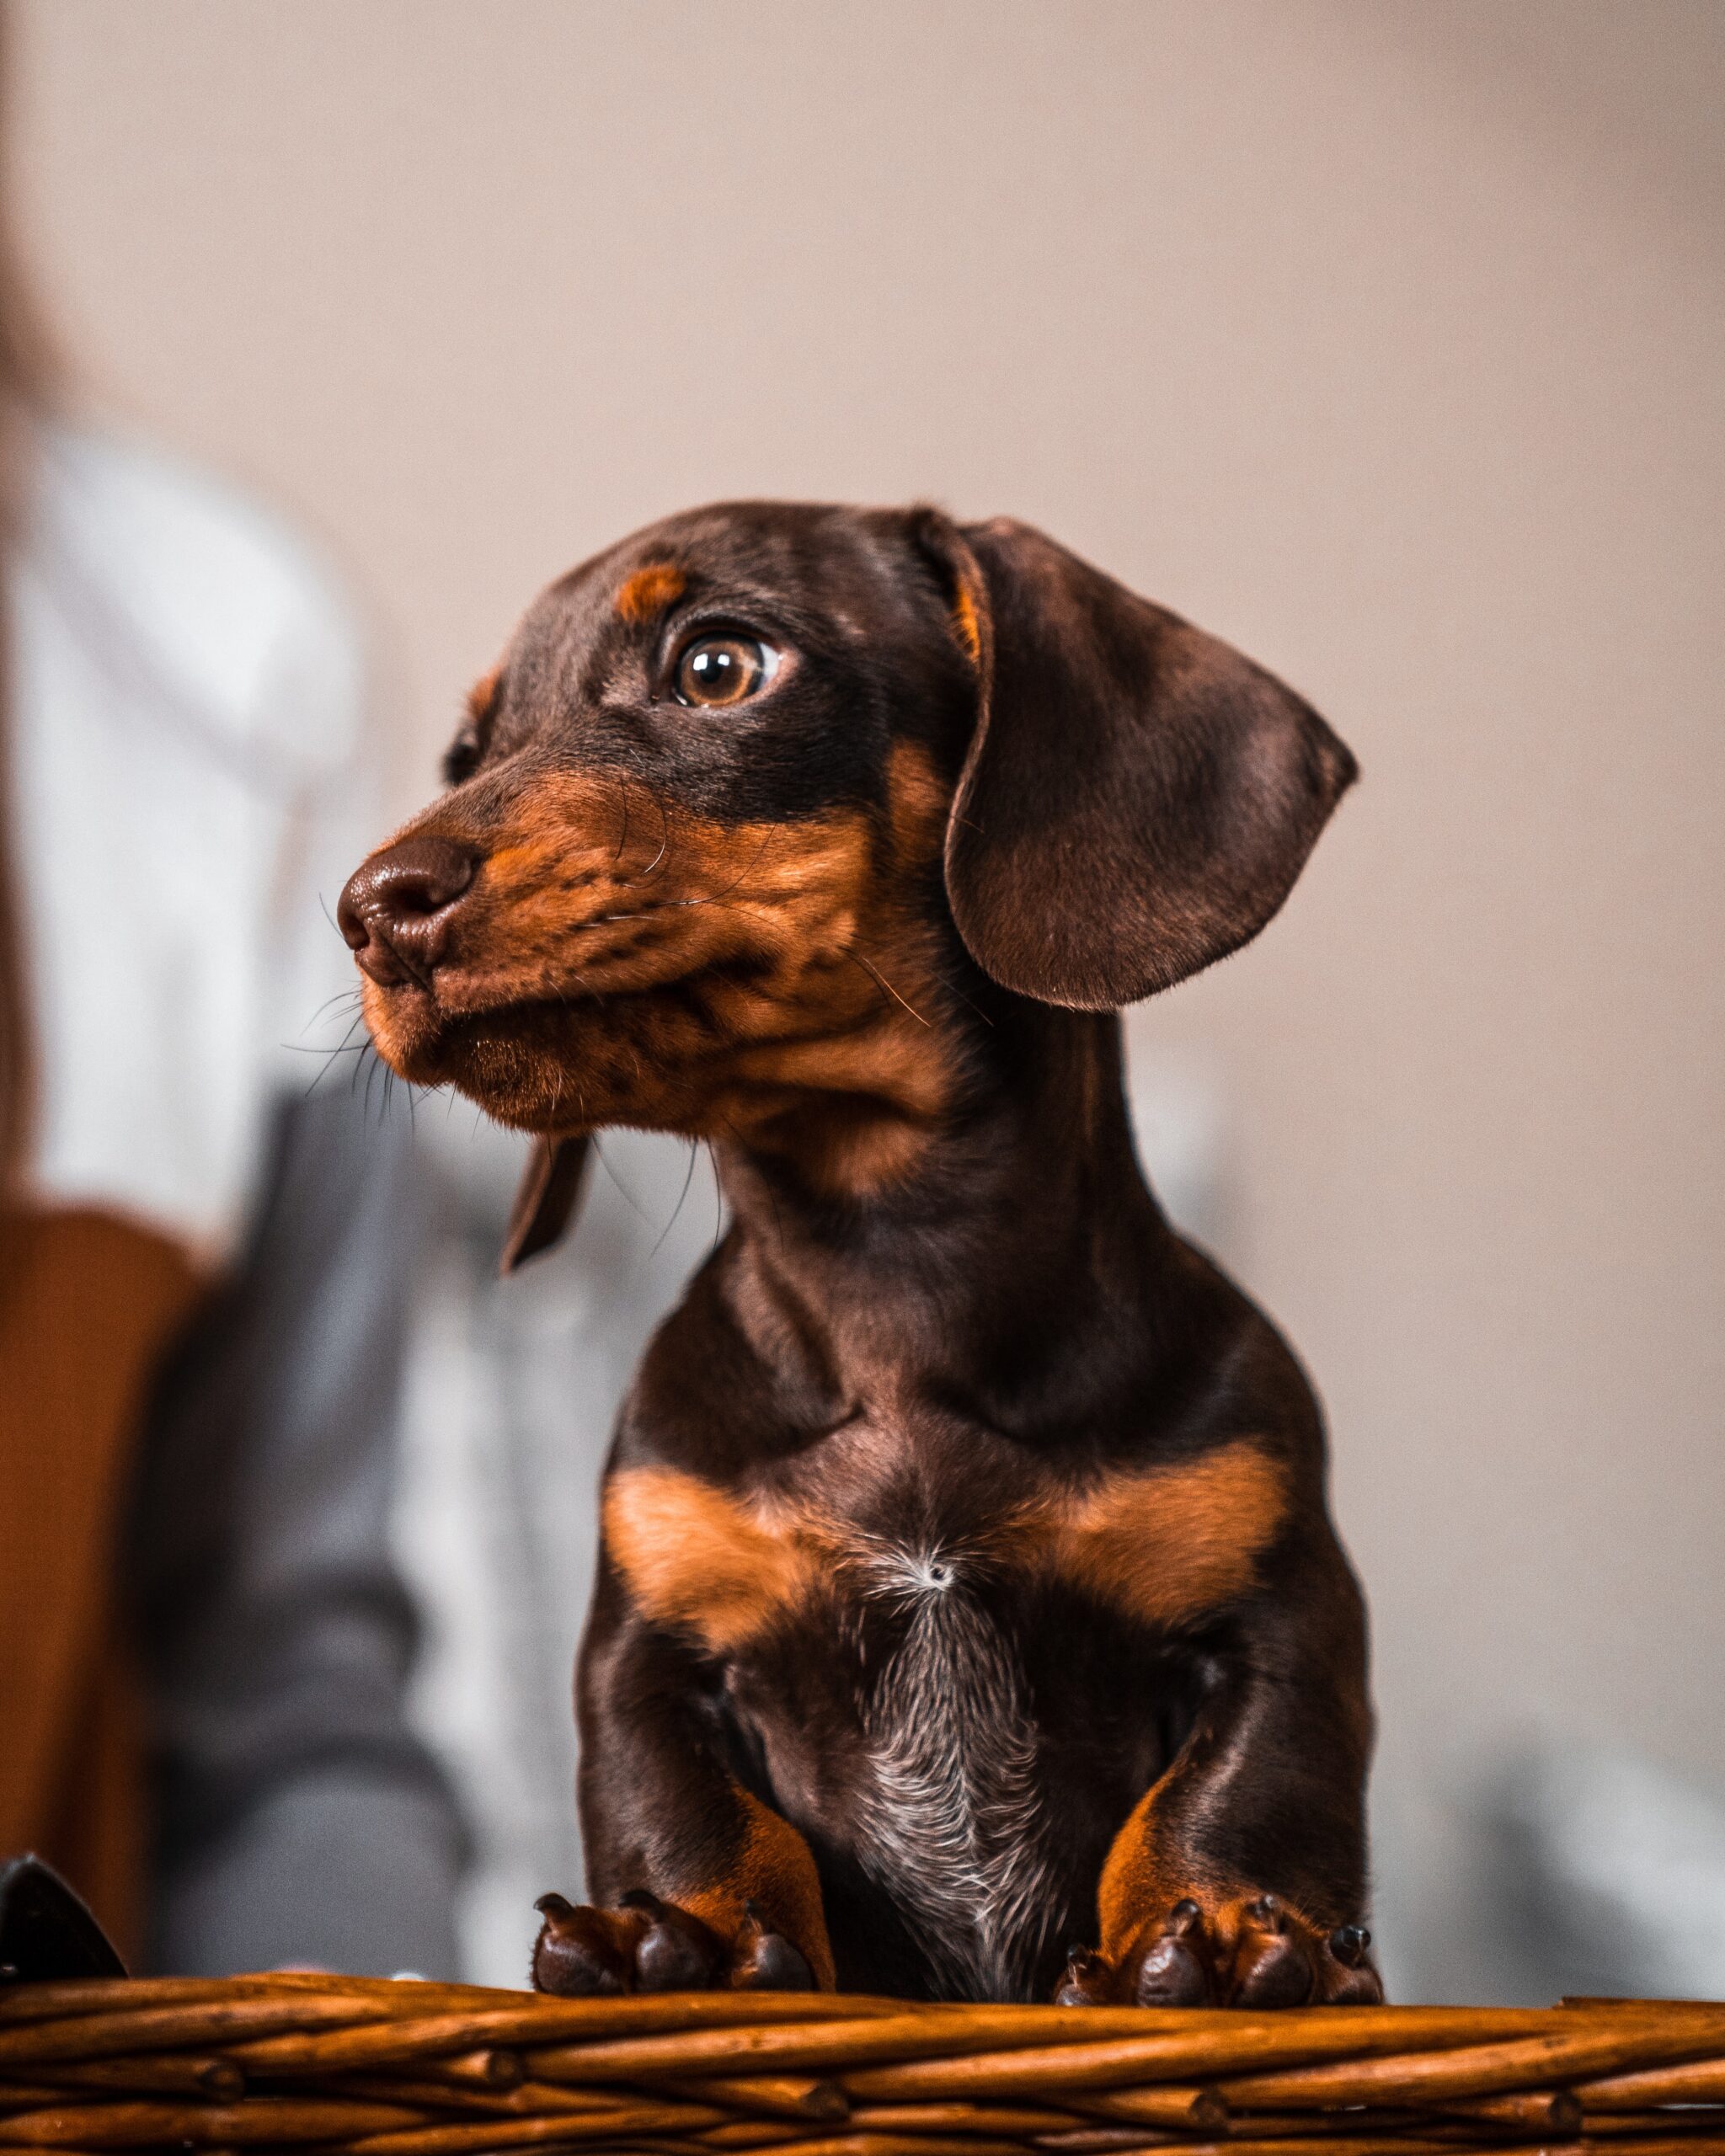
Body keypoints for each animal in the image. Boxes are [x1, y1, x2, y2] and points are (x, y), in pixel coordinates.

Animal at [343, 504, 1380, 2000]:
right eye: (465, 754)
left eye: (718, 665)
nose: (373, 909)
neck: (889, 1295)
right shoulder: (645, 1650)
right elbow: (688, 1816)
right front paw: (687, 1939)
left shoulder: (1281, 1613)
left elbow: (1229, 1805)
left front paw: (1233, 1941)